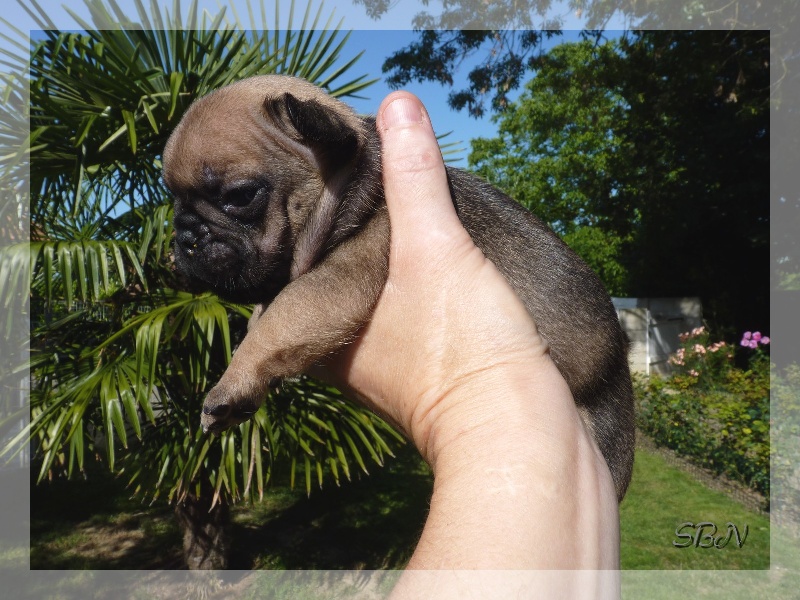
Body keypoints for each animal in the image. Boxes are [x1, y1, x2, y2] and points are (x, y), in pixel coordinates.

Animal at [164, 75, 636, 500]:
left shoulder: (340, 278)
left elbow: (280, 322)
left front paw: (233, 381)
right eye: (173, 201)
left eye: (240, 196)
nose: (184, 234)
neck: (353, 184)